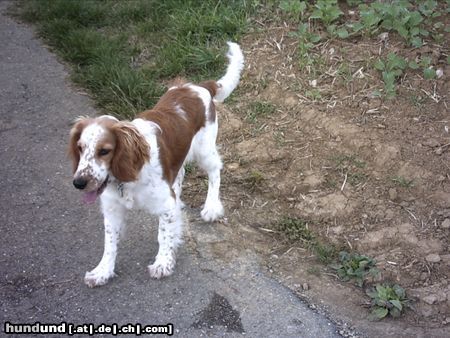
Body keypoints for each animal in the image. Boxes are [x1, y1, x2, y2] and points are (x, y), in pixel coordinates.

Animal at [68, 41, 244, 286]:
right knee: (180, 176)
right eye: (80, 148)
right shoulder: (112, 208)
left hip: (204, 150)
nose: (79, 183)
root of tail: (199, 86)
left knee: (215, 171)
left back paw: (211, 207)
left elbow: (164, 233)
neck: (126, 178)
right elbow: (110, 242)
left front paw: (163, 263)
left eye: (104, 151)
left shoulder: (165, 204)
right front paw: (102, 271)